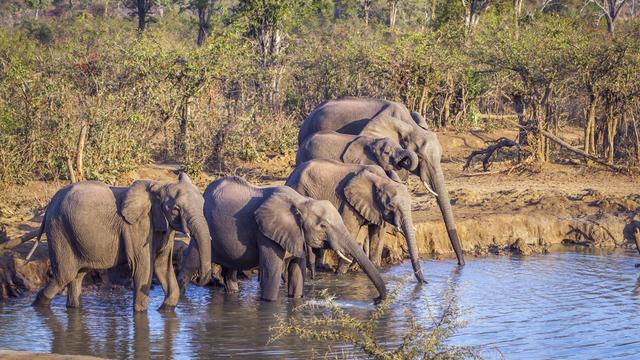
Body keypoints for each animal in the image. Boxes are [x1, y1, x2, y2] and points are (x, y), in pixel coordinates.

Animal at [31, 173, 211, 310]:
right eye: (176, 209)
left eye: (203, 205)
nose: (198, 278)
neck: (160, 186)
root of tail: (50, 204)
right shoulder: (138, 226)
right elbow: (143, 268)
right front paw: (140, 312)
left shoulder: (164, 229)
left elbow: (162, 267)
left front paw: (164, 310)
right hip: (59, 229)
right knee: (64, 276)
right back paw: (38, 306)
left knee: (77, 276)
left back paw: (73, 308)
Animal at [179, 176, 390, 302]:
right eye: (323, 226)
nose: (376, 300)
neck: (301, 202)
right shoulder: (265, 233)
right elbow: (272, 273)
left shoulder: (297, 235)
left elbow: (297, 273)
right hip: (204, 229)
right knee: (190, 263)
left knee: (230, 272)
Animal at [284, 159, 424, 282]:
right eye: (391, 205)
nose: (424, 282)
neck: (382, 179)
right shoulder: (347, 203)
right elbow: (350, 231)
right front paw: (340, 275)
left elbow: (378, 237)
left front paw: (375, 269)